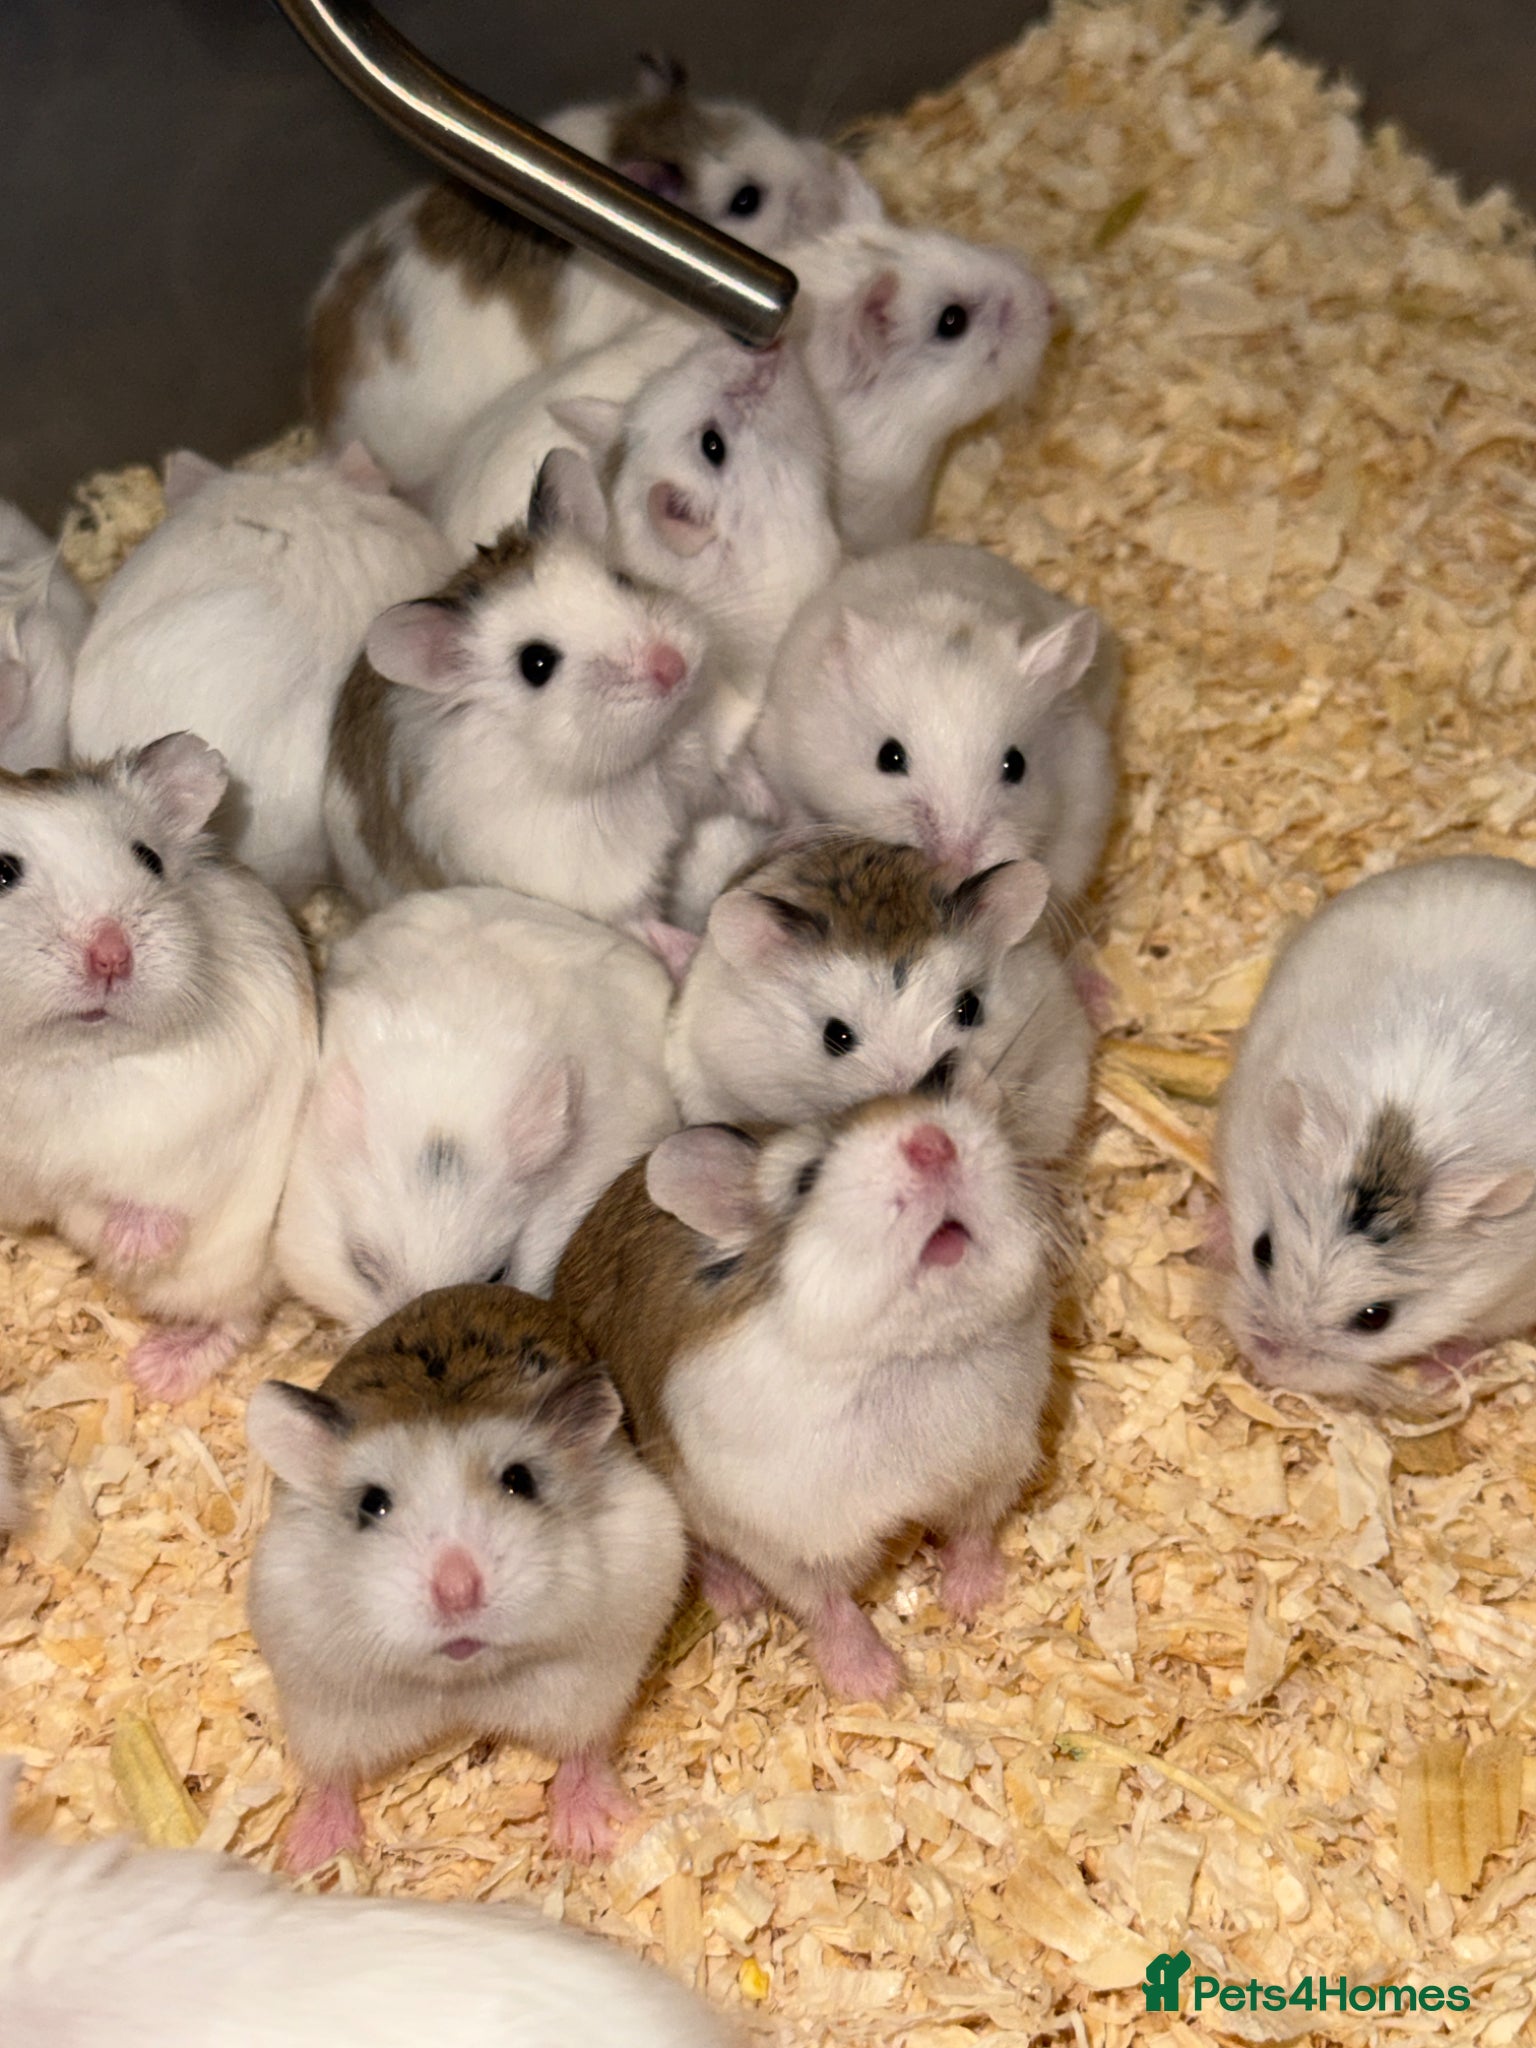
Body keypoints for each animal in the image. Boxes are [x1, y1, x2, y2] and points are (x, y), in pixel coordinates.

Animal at [0, 736, 318, 1400]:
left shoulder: (211, 1110)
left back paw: (156, 1371)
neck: (62, 1059)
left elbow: (162, 1186)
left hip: (228, 1265)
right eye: (1, 873)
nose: (111, 956)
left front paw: (134, 1245)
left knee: (237, 1316)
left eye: (148, 858)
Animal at [247, 1286, 687, 1871]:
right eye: (371, 1503)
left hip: (589, 1688)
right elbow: (330, 1775)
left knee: (583, 1748)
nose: (457, 1595)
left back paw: (585, 1837)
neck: (462, 1682)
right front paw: (303, 1860)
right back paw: (310, 1855)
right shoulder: (316, 1678)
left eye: (520, 1480)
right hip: (329, 1711)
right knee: (330, 1775)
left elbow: (586, 1747)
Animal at [324, 450, 724, 935]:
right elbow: (642, 922)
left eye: (622, 580)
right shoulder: (593, 882)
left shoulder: (698, 761)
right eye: (536, 664)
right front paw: (685, 947)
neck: (637, 763)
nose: (672, 667)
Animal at [555, 1084, 1063, 1700]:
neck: (908, 1358)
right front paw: (877, 1686)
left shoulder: (992, 1468)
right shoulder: (787, 1534)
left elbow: (974, 1532)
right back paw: (739, 1600)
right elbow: (826, 1604)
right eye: (805, 1178)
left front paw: (975, 1602)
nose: (932, 1143)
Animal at [750, 541, 1118, 902]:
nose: (955, 864)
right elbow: (795, 809)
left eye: (1016, 765)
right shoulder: (781, 750)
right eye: (889, 757)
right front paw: (787, 843)